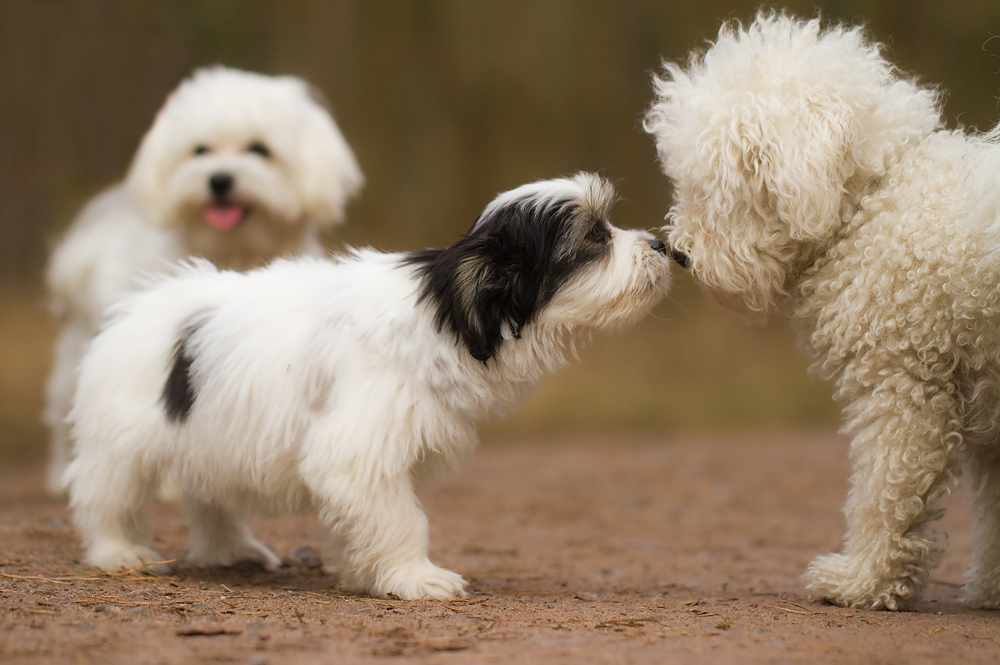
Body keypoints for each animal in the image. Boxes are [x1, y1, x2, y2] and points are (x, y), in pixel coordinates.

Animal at [62, 174, 672, 600]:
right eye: (595, 237)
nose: (663, 245)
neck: (447, 310)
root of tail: (133, 306)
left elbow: (372, 514)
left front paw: (366, 573)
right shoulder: (359, 446)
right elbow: (401, 518)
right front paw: (415, 578)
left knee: (207, 491)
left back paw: (229, 549)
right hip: (124, 436)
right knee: (105, 493)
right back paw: (119, 550)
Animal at [644, 13, 1000, 608]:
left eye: (719, 188)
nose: (681, 254)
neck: (873, 200)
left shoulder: (904, 388)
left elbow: (885, 493)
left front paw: (862, 582)